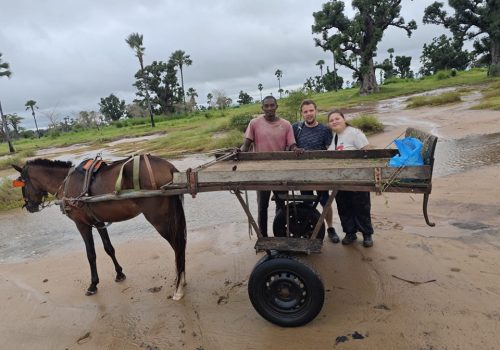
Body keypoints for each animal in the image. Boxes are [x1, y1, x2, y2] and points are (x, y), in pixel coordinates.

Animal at [11, 156, 188, 300]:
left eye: (22, 183)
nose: (28, 207)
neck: (66, 182)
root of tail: (168, 167)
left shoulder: (82, 225)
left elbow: (91, 254)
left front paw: (93, 284)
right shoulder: (99, 222)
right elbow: (109, 248)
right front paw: (119, 273)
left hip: (159, 219)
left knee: (177, 245)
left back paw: (179, 285)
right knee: (180, 245)